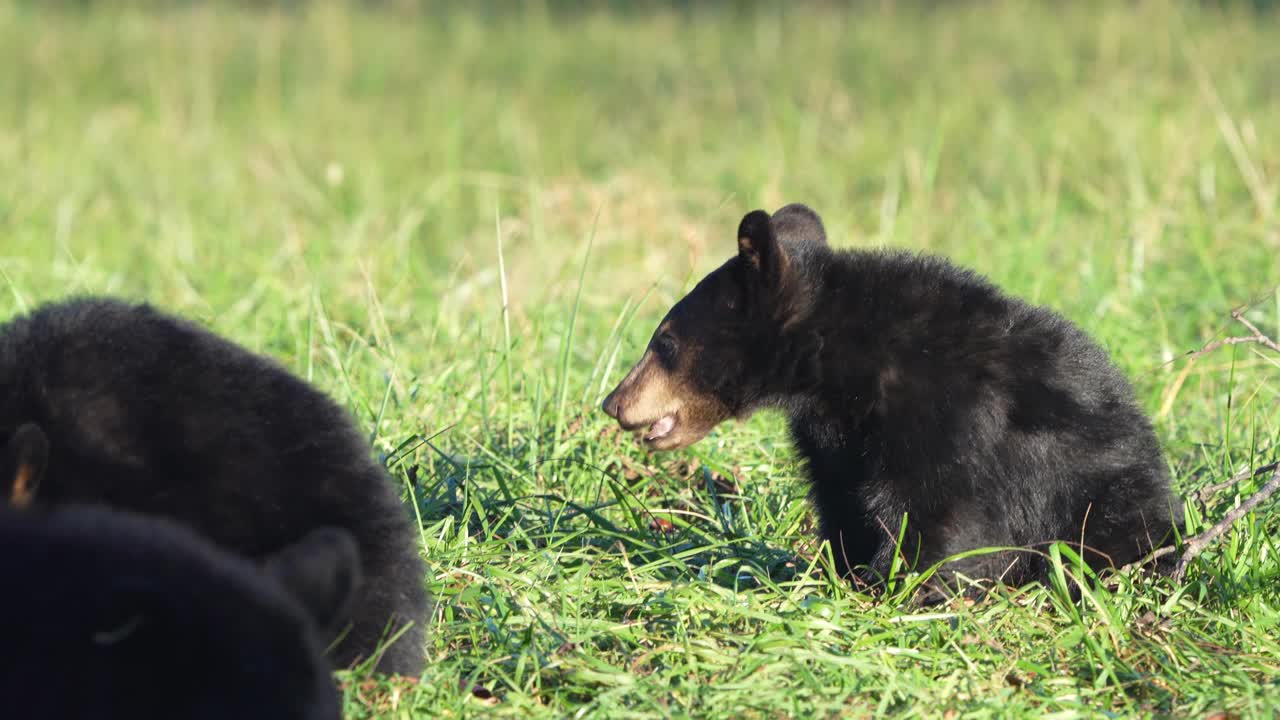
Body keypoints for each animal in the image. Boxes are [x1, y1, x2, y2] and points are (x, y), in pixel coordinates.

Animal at [604, 203, 1182, 594]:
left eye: (664, 342)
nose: (613, 402)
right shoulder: (833, 433)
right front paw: (839, 570)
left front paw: (900, 586)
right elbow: (842, 497)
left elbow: (939, 508)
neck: (840, 364)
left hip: (1104, 494)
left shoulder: (949, 409)